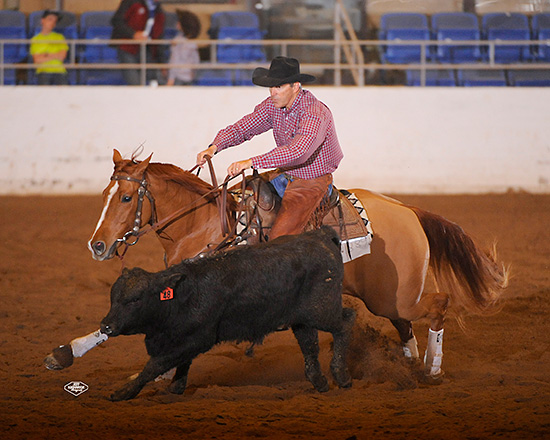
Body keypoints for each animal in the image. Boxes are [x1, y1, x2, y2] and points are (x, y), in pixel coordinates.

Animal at [101, 225, 356, 400]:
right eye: (113, 298)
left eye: (135, 299)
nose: (106, 326)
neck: (184, 295)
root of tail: (320, 236)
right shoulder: (183, 339)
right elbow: (181, 364)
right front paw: (175, 387)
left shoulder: (195, 339)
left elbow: (153, 366)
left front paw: (122, 393)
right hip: (302, 319)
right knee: (309, 344)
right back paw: (320, 381)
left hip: (322, 310)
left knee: (345, 322)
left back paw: (341, 375)